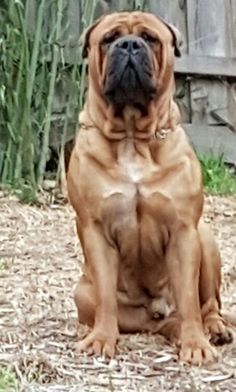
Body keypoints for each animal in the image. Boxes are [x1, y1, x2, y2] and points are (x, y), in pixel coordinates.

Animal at [67, 13, 233, 368]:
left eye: (150, 38)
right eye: (108, 39)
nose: (129, 44)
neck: (132, 137)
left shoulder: (184, 231)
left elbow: (188, 299)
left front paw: (196, 343)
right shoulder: (95, 230)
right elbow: (105, 295)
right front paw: (102, 339)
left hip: (205, 239)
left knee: (207, 305)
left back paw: (213, 328)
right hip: (82, 293)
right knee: (147, 320)